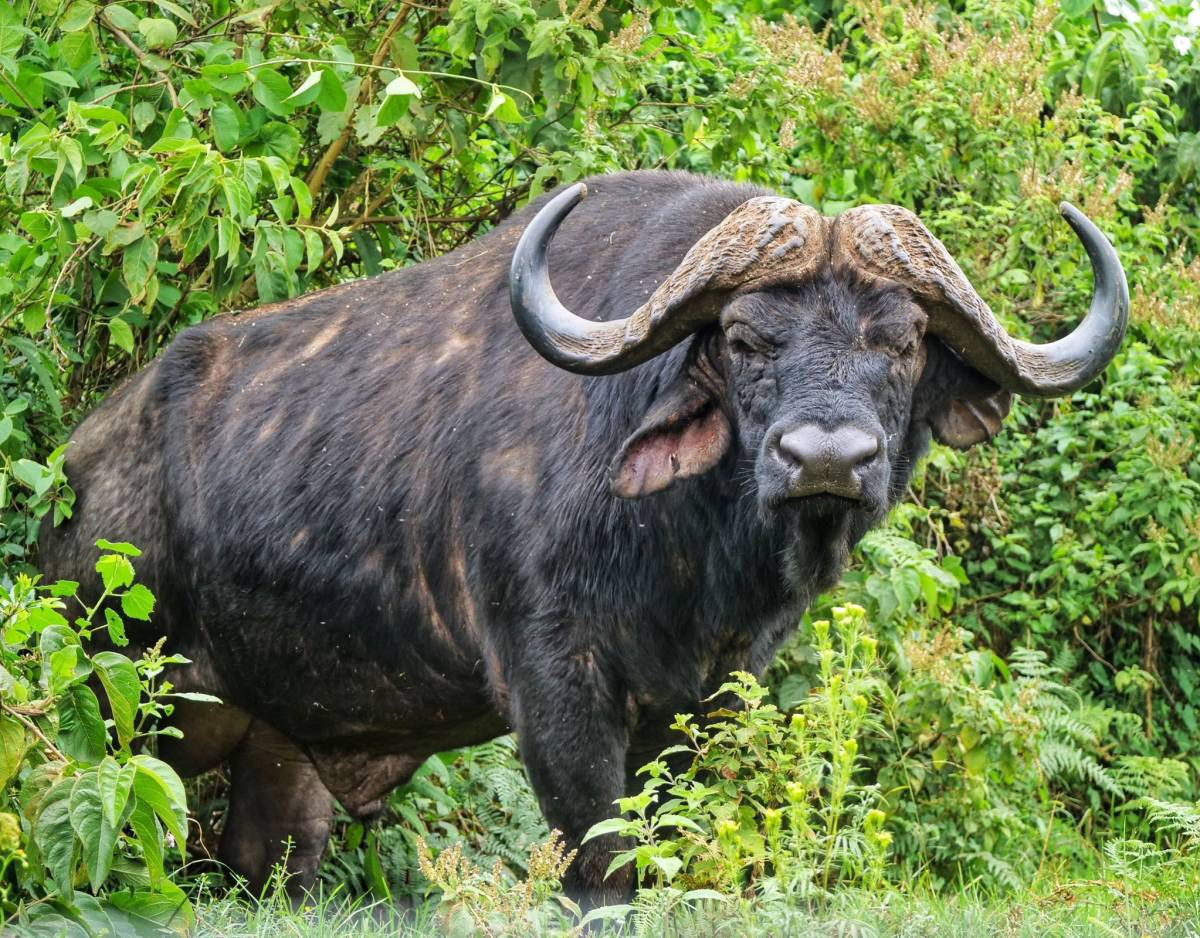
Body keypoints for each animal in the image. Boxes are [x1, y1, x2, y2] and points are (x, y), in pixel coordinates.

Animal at [39, 170, 1127, 905]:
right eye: (745, 338)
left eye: (900, 342)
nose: (827, 455)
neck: (683, 556)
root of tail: (74, 465)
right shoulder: (554, 686)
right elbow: (602, 864)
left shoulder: (700, 703)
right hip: (106, 690)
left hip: (282, 746)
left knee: (271, 861)